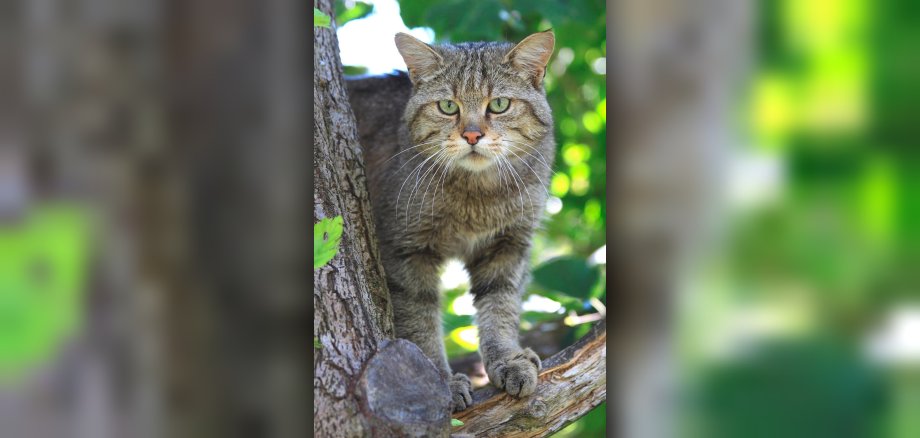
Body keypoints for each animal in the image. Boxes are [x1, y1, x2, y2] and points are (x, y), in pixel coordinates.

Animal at [348, 30, 556, 410]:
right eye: (448, 107)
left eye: (499, 104)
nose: (472, 135)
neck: (478, 196)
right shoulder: (405, 252)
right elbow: (419, 320)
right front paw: (437, 380)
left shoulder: (509, 246)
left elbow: (500, 307)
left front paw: (507, 359)